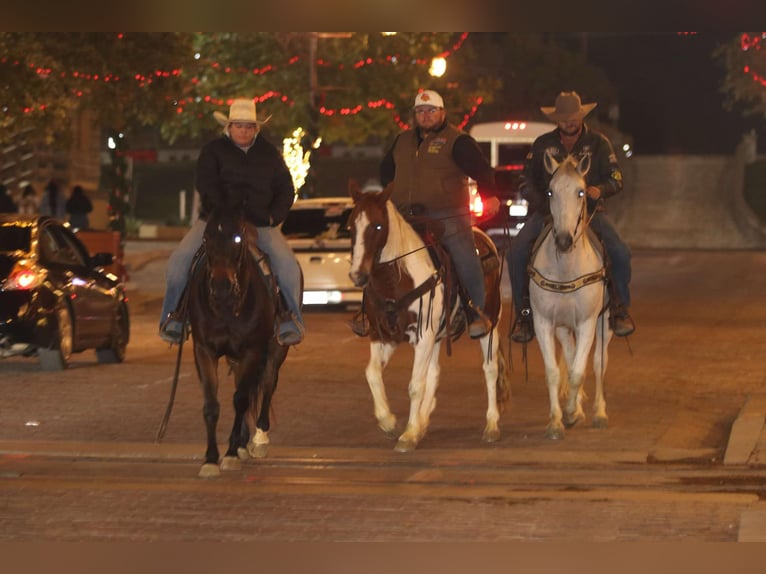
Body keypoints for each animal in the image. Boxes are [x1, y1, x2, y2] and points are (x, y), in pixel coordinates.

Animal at [189, 205, 292, 480]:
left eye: (237, 238)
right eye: (206, 238)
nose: (221, 285)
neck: (227, 306)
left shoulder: (252, 350)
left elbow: (241, 400)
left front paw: (231, 454)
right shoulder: (203, 350)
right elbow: (211, 404)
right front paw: (211, 459)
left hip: (276, 350)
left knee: (267, 383)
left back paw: (258, 440)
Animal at [348, 184, 510, 454]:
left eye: (378, 226)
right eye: (351, 226)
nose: (357, 275)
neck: (397, 280)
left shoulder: (423, 336)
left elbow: (415, 385)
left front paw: (408, 434)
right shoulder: (385, 336)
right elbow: (372, 372)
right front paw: (389, 422)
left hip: (490, 324)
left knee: (490, 369)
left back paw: (492, 426)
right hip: (437, 336)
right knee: (434, 374)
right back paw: (423, 421)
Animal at [532, 153, 616, 440]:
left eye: (581, 192)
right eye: (550, 191)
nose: (564, 241)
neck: (565, 270)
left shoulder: (588, 322)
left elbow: (581, 371)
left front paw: (570, 413)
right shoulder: (544, 322)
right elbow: (554, 372)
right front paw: (558, 421)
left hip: (604, 322)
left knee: (600, 363)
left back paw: (600, 413)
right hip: (563, 327)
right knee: (569, 357)